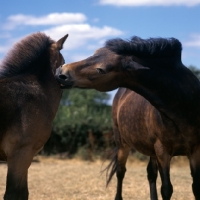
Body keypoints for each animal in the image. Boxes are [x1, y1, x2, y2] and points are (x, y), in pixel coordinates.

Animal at [55, 36, 200, 200]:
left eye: (101, 69)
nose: (61, 72)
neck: (183, 107)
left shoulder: (195, 150)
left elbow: (195, 187)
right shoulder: (163, 151)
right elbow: (167, 189)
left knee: (151, 174)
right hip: (122, 144)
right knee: (121, 172)